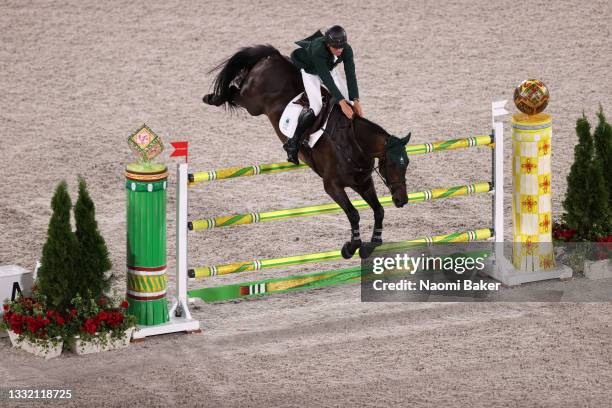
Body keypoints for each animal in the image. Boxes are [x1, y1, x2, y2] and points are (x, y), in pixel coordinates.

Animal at [202, 43, 412, 258]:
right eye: (392, 164)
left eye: (406, 164)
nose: (402, 200)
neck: (353, 143)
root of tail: (273, 57)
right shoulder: (332, 186)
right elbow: (353, 214)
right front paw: (350, 247)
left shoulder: (363, 183)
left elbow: (379, 210)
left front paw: (371, 244)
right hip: (252, 102)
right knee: (235, 90)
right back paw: (212, 97)